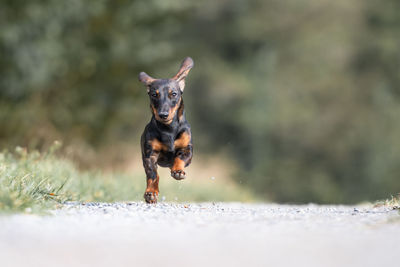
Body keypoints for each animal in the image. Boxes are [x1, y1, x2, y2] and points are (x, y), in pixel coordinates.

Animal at [138, 56, 195, 203]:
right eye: (154, 94)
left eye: (173, 94)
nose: (163, 114)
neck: (168, 128)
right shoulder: (150, 154)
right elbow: (153, 174)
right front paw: (151, 193)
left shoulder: (187, 149)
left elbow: (180, 158)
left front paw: (178, 171)